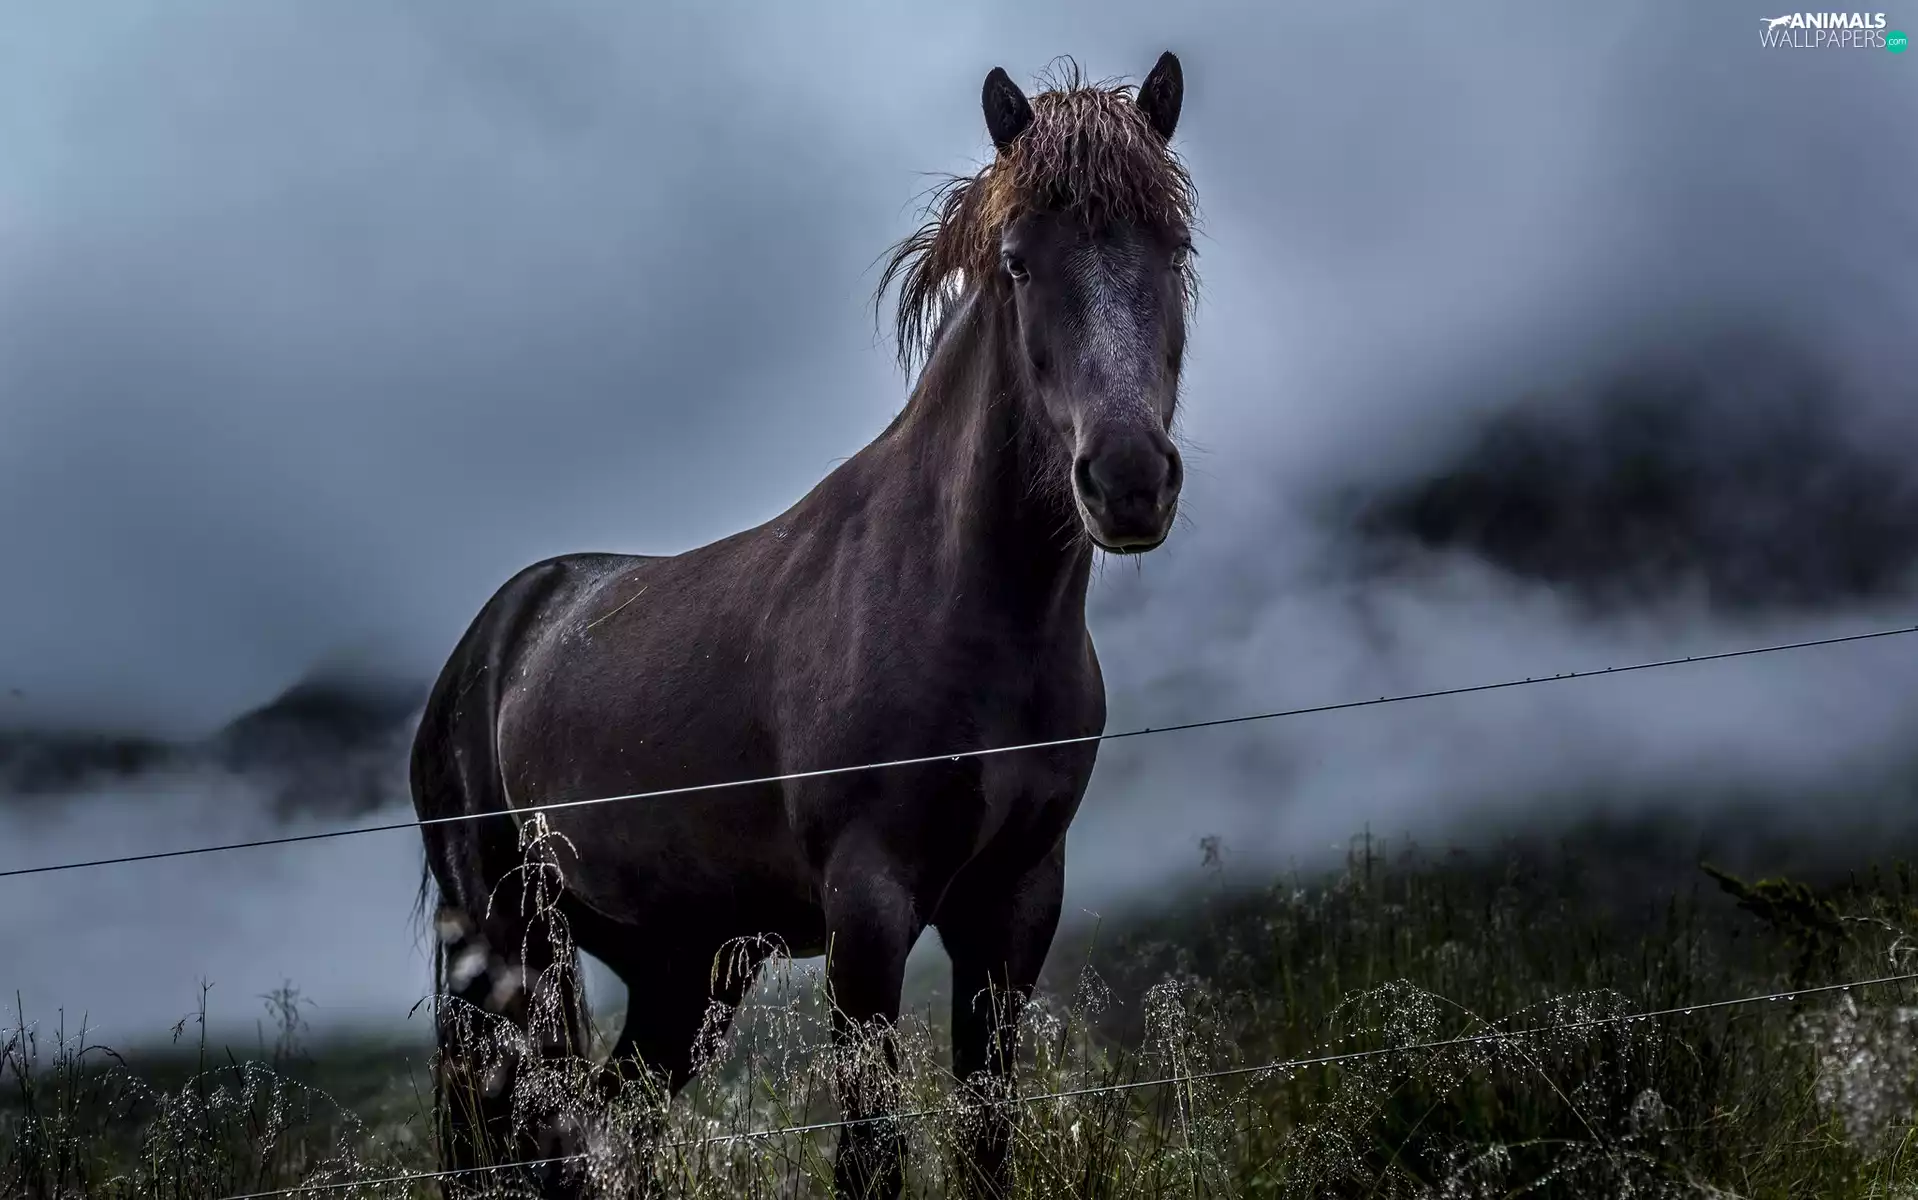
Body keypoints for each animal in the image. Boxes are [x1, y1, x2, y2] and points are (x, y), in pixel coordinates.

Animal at [412, 51, 1200, 1198]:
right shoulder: (865, 911)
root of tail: (491, 638)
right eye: (1016, 263)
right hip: (511, 946)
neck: (965, 612)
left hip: (683, 969)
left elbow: (987, 1132)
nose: (1129, 479)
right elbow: (869, 1152)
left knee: (604, 1129)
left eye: (1175, 250)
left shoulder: (1015, 903)